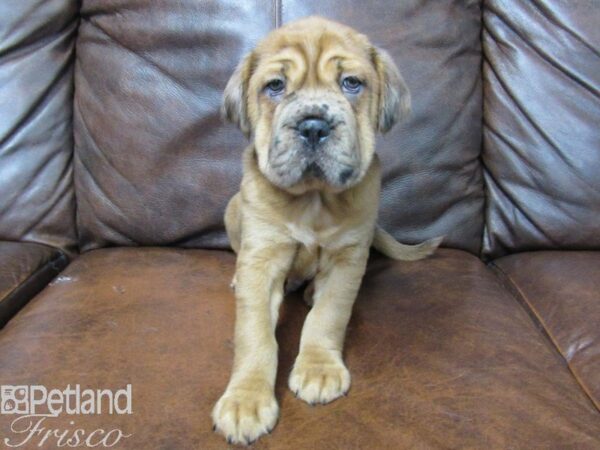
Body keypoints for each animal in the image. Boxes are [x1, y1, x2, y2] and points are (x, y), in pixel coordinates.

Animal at [211, 15, 440, 444]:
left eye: (351, 83)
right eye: (275, 86)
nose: (314, 126)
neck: (313, 200)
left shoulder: (348, 258)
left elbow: (328, 317)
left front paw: (318, 368)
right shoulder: (261, 257)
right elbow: (254, 334)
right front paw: (245, 400)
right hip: (233, 210)